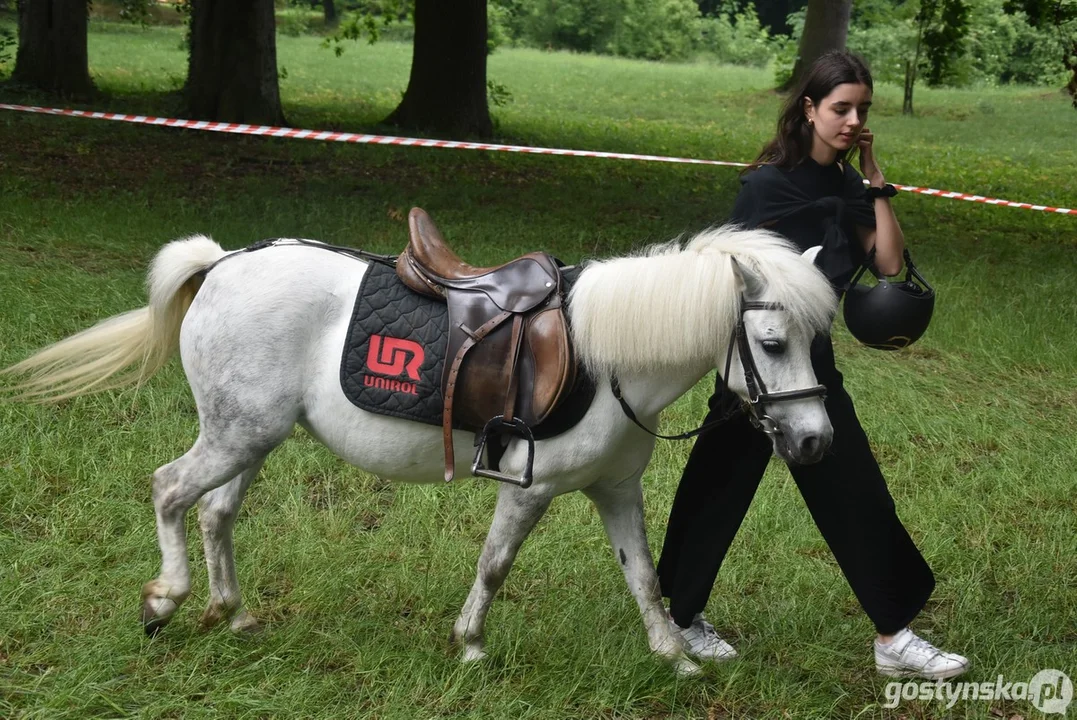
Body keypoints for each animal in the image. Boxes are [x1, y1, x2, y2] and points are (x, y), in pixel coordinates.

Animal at [4, 226, 835, 675]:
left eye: (819, 341)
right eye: (771, 342)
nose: (816, 440)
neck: (606, 355)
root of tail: (220, 264)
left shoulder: (614, 491)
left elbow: (643, 578)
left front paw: (674, 657)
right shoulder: (530, 488)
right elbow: (494, 566)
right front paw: (469, 645)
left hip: (253, 437)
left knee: (215, 512)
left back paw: (230, 612)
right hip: (235, 433)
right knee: (169, 489)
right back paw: (164, 600)